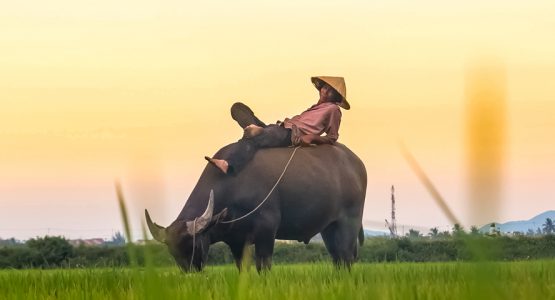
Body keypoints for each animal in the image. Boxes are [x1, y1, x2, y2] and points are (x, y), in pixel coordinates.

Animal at [146, 143, 368, 272]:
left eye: (193, 246)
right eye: (173, 252)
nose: (191, 273)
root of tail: (356, 163)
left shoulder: (266, 230)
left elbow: (263, 266)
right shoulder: (236, 241)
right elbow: (242, 269)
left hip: (349, 222)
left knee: (346, 257)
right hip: (328, 228)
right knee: (337, 258)